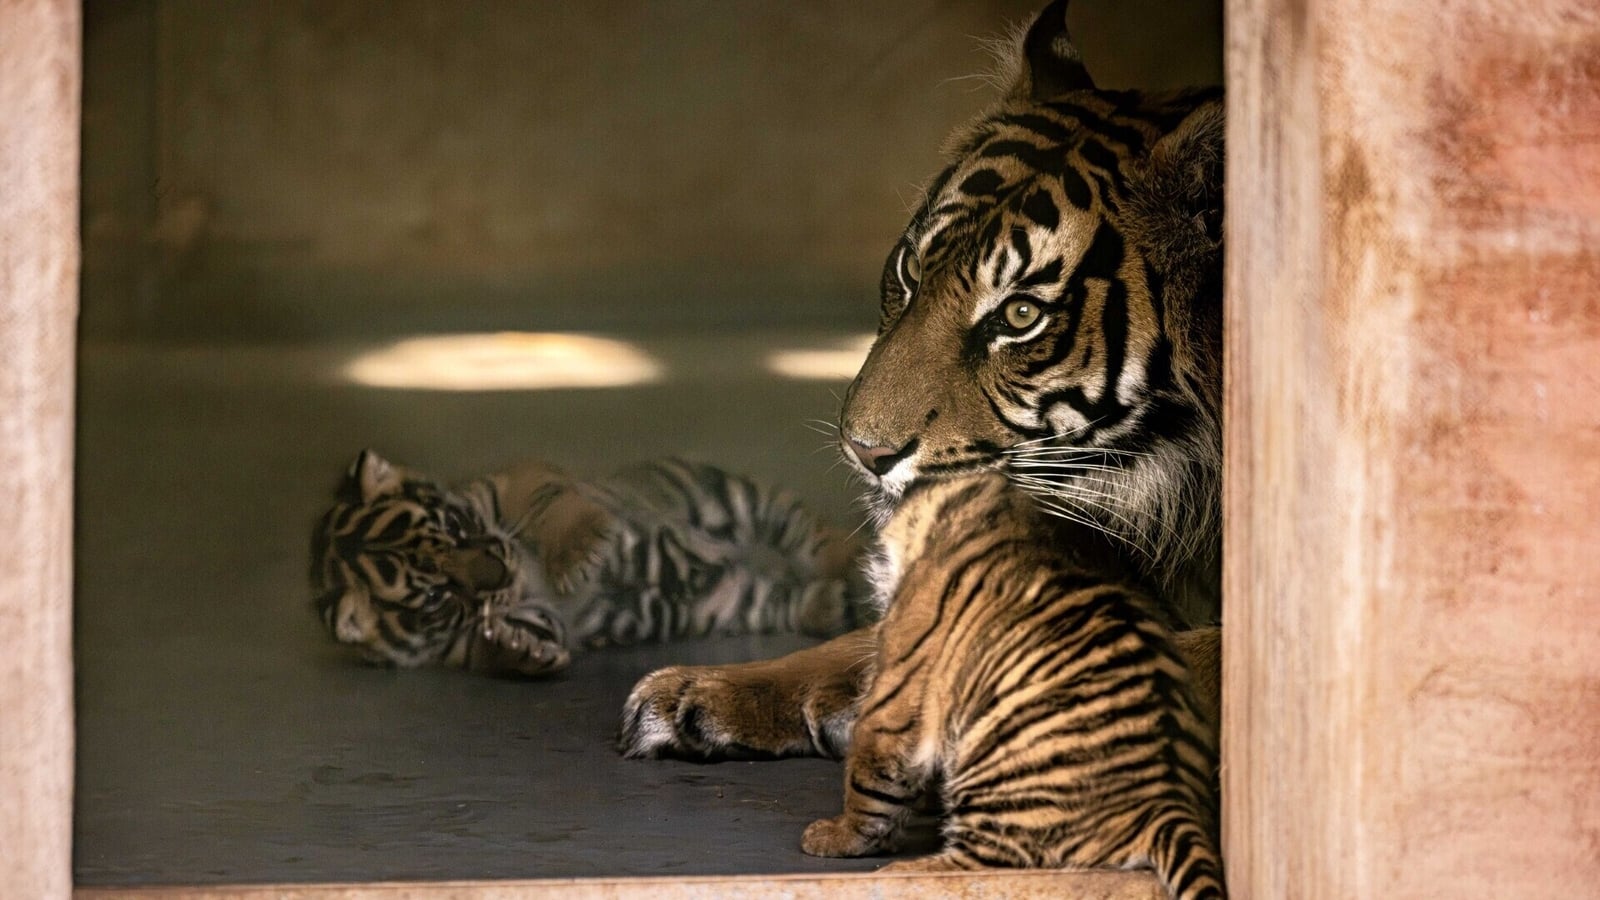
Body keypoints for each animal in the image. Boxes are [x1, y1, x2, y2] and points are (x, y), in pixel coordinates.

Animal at [311, 450, 864, 677]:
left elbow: (551, 507)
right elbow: (506, 639)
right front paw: (515, 650)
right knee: (794, 599)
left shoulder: (519, 480)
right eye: (435, 597)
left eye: (455, 525)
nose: (501, 570)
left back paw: (854, 557)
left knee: (805, 531)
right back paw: (838, 600)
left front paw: (580, 553)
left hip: (729, 495)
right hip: (741, 603)